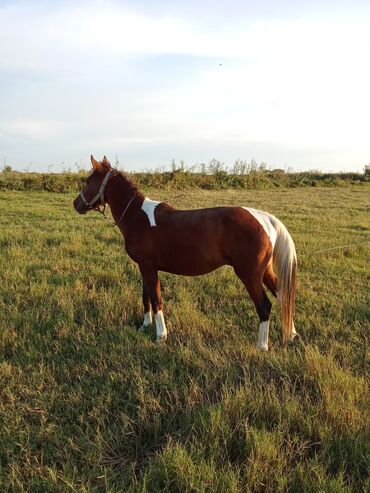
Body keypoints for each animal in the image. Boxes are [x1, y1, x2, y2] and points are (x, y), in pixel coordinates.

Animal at [73, 155, 298, 350]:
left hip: (249, 275)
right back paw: (291, 334)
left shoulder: (148, 267)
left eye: (87, 181)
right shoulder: (144, 267)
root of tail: (264, 217)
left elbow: (156, 298)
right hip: (265, 271)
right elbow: (146, 296)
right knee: (282, 295)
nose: (76, 204)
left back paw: (262, 346)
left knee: (264, 306)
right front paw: (145, 325)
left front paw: (161, 336)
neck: (138, 216)